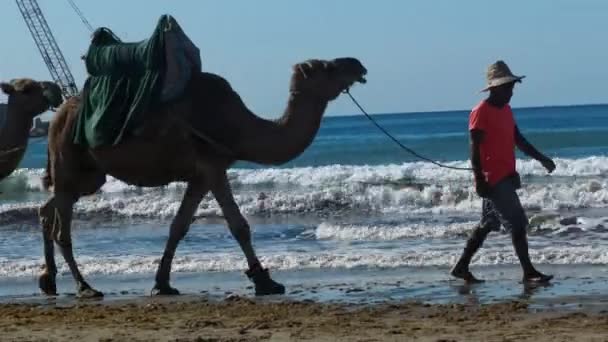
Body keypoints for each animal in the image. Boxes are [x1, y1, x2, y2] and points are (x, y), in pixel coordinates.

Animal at [8, 56, 366, 296]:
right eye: (328, 67)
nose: (357, 65)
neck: (238, 125)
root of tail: (56, 115)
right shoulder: (213, 164)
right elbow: (239, 225)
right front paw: (266, 282)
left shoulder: (200, 175)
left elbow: (178, 226)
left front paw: (162, 284)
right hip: (68, 157)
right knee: (61, 225)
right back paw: (85, 286)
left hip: (89, 174)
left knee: (48, 208)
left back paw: (49, 280)